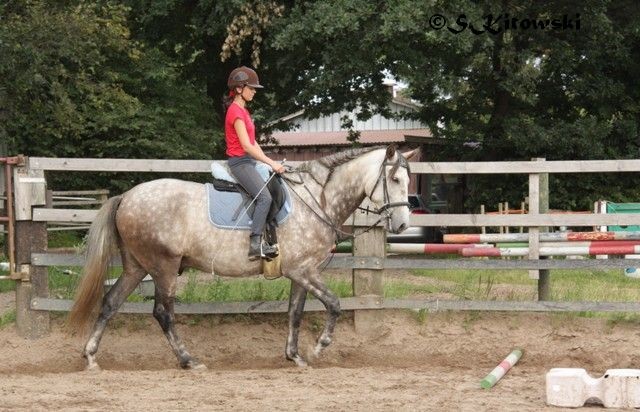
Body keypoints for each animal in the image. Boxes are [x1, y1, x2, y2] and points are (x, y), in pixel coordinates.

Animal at [69, 144, 416, 370]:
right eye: (395, 180)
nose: (401, 225)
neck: (317, 199)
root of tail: (127, 196)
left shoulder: (300, 272)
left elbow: (295, 312)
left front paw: (295, 356)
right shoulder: (303, 270)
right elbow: (334, 304)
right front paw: (319, 348)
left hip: (137, 266)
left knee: (110, 303)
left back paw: (91, 356)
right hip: (163, 266)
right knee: (162, 313)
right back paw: (188, 360)